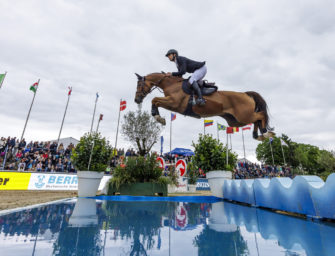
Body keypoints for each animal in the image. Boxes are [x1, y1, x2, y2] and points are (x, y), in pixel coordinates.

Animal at [135, 72, 276, 141]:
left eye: (139, 85)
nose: (136, 100)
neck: (171, 84)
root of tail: (245, 94)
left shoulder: (174, 103)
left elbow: (155, 100)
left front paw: (158, 117)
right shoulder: (172, 104)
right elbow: (155, 101)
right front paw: (159, 117)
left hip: (243, 116)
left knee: (260, 115)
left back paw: (266, 133)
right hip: (235, 121)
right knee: (256, 120)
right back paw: (259, 135)